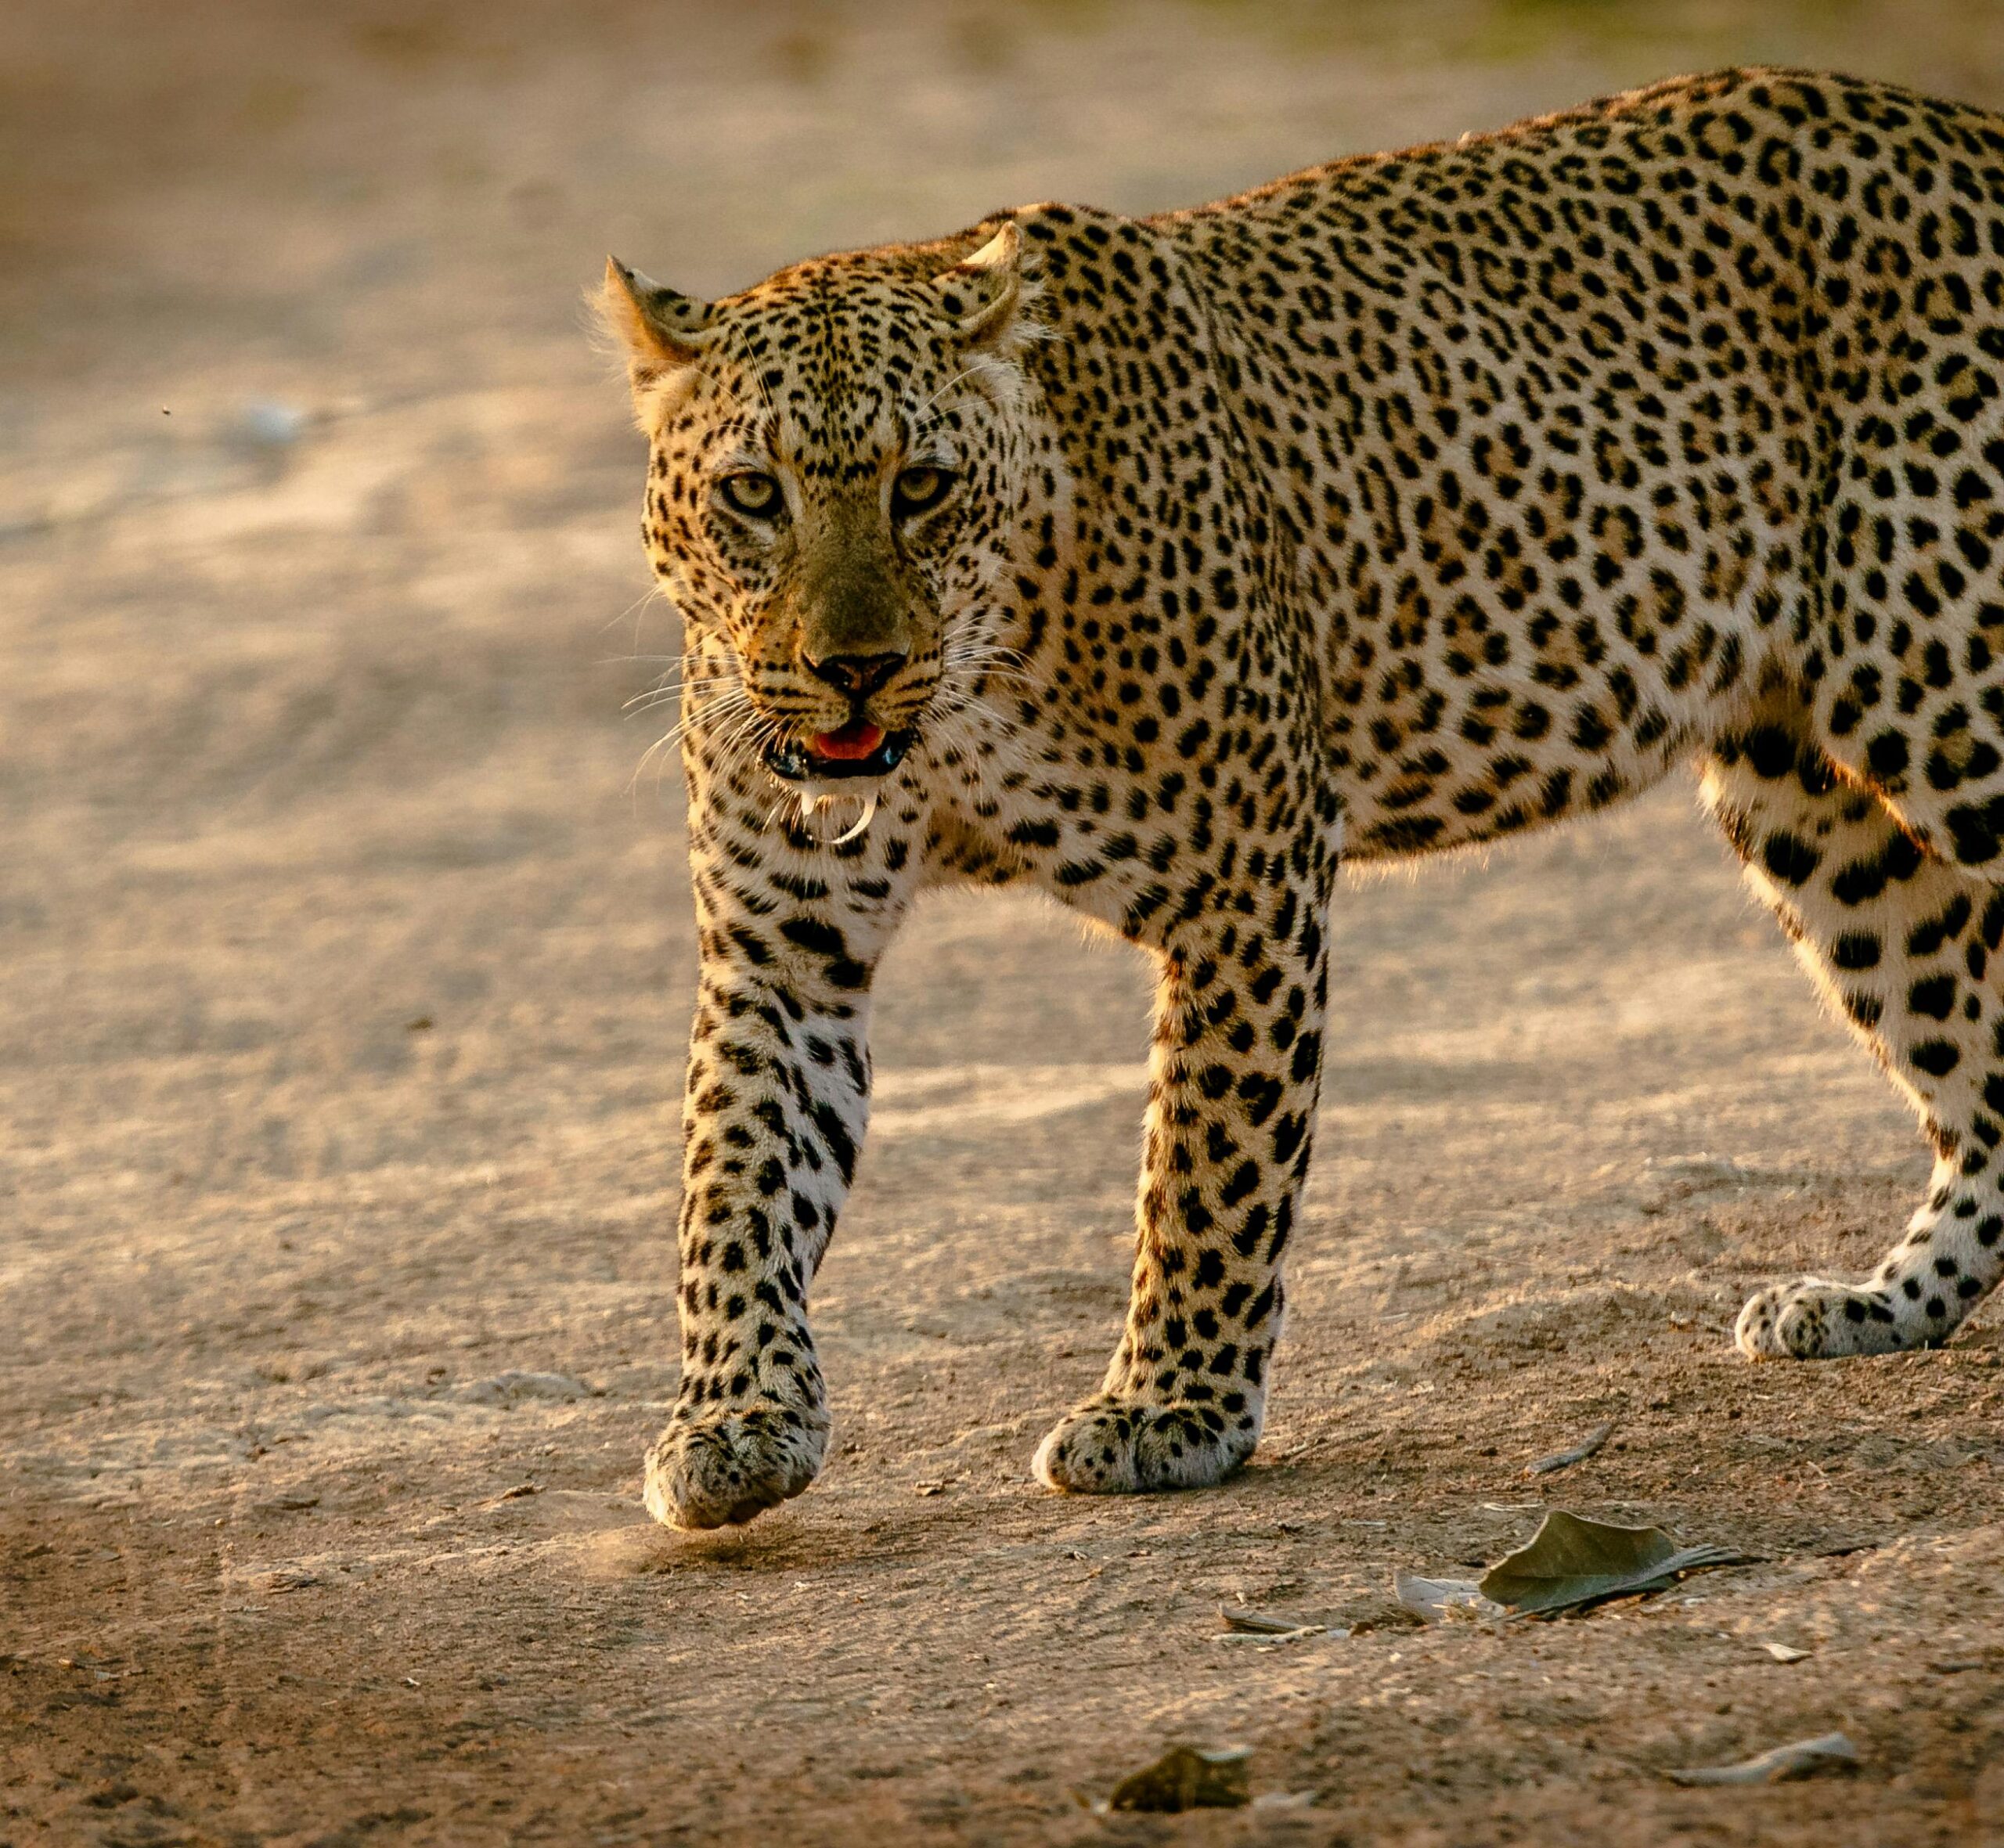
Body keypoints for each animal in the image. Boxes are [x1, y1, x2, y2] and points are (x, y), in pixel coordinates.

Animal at [600, 67, 2004, 1530]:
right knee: (1983, 1071)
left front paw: (1167, 1409)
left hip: (1953, 697)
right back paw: (1879, 1303)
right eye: (752, 494)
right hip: (1810, 798)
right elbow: (737, 1183)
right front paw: (732, 1420)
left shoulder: (1246, 875)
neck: (968, 701)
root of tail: (1963, 136)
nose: (854, 668)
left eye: (918, 487)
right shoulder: (781, 946)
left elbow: (1207, 1166)